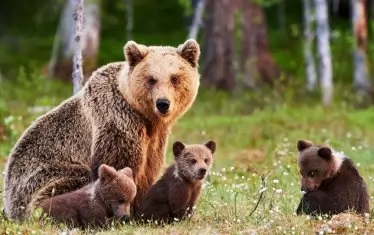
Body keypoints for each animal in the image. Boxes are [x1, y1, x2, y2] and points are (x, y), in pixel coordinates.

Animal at [3, 39, 202, 220]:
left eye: (174, 78)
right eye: (151, 79)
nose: (162, 103)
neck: (144, 116)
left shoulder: (155, 138)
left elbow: (148, 170)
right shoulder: (117, 120)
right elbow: (118, 165)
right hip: (38, 178)